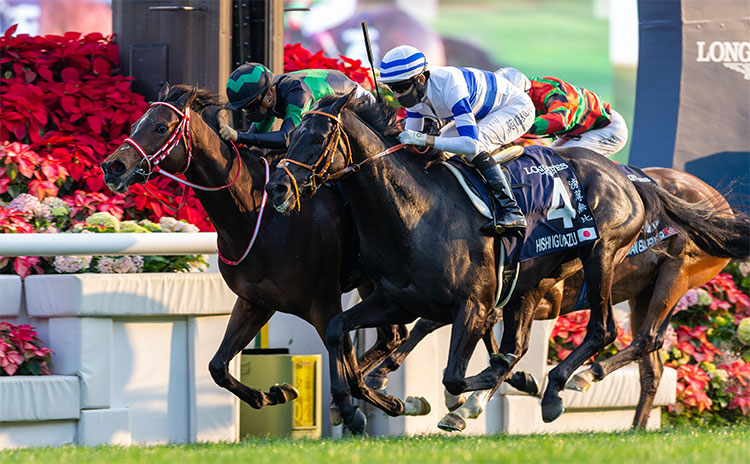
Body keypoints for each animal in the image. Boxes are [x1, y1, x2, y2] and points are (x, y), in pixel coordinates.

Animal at [99, 86, 412, 414]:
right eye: (135, 126)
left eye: (160, 127)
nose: (113, 167)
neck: (256, 219)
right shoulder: (254, 302)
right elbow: (217, 366)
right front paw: (277, 393)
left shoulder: (324, 304)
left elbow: (346, 365)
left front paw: (372, 406)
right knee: (392, 336)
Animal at [268, 92, 648, 434]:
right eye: (292, 136)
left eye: (317, 138)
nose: (277, 188)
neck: (416, 213)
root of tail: (623, 175)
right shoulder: (396, 301)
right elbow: (337, 331)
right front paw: (360, 405)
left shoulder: (473, 304)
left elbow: (452, 376)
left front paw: (478, 389)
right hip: (538, 277)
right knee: (519, 343)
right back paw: (540, 387)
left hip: (600, 253)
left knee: (603, 329)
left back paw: (552, 384)